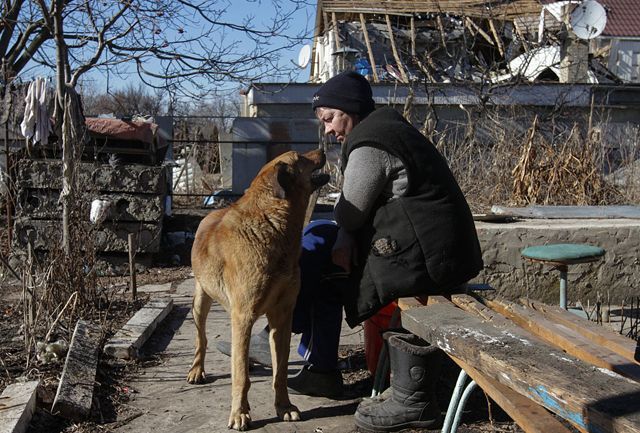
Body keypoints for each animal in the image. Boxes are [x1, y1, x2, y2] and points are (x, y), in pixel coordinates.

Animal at [184, 148, 324, 428]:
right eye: (300, 157)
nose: (323, 150)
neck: (273, 225)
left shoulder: (282, 317)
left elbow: (280, 371)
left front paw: (284, 406)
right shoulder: (243, 316)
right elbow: (240, 377)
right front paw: (239, 413)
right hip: (201, 301)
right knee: (201, 338)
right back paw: (197, 370)